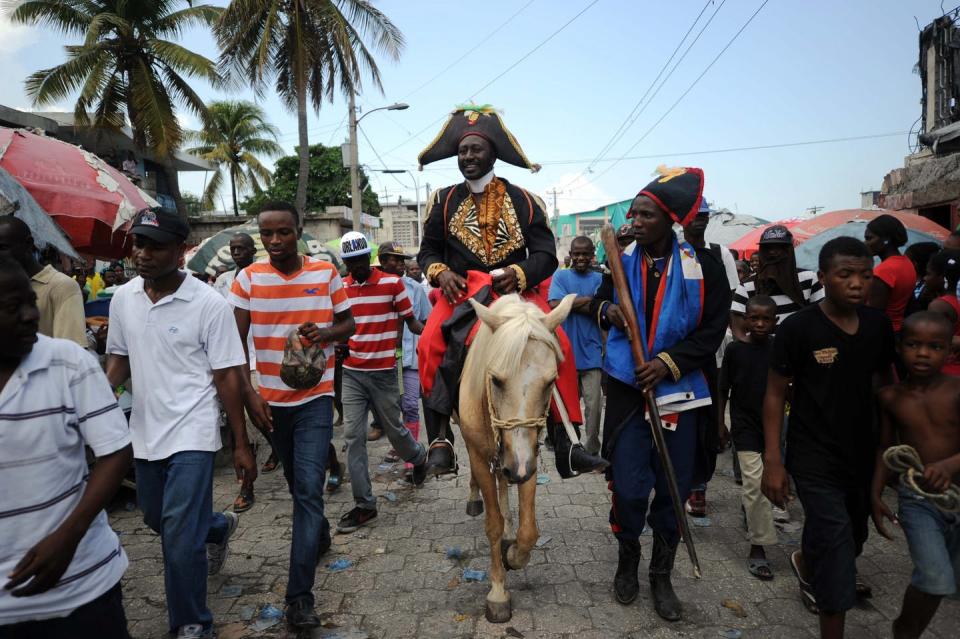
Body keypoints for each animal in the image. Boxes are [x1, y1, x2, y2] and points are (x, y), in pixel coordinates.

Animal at [456, 292, 568, 624]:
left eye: (551, 381)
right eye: (496, 380)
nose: (516, 468)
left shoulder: (528, 455)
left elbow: (529, 530)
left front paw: (513, 556)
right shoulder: (482, 456)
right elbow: (491, 523)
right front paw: (497, 592)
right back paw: (475, 498)